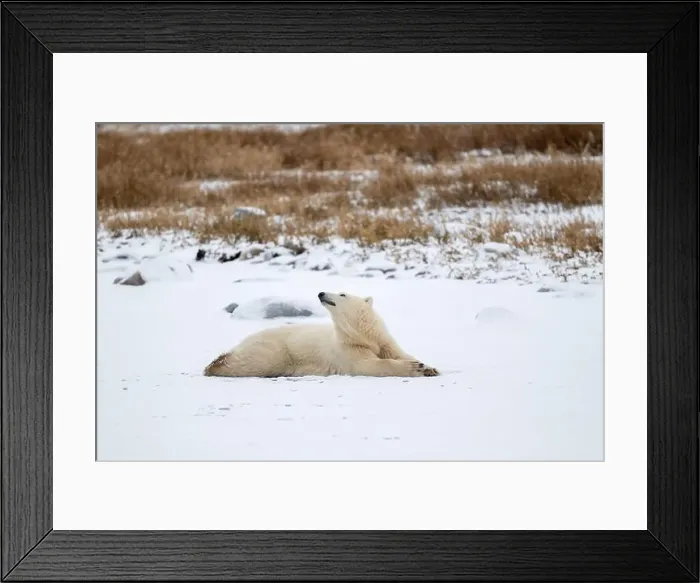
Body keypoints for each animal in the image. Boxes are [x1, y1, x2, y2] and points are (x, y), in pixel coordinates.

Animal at [203, 291, 439, 378]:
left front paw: (429, 367)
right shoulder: (347, 350)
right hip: (275, 350)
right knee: (253, 362)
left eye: (342, 294)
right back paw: (215, 365)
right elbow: (367, 365)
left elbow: (401, 354)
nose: (321, 293)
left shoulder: (386, 342)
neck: (364, 336)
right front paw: (415, 368)